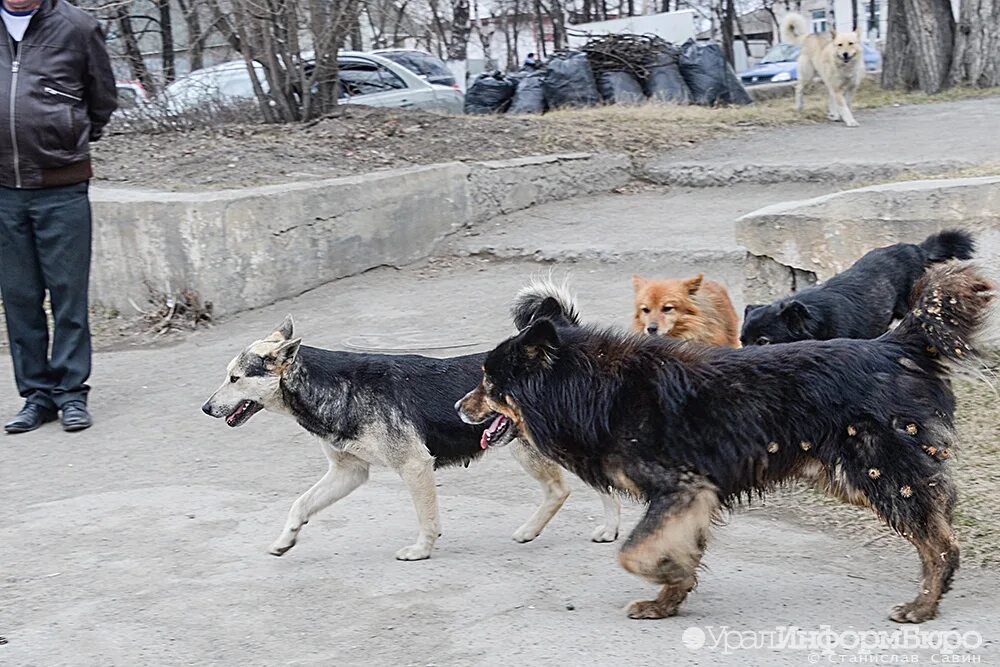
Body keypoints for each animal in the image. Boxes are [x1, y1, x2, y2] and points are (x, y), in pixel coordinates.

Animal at [200, 284, 620, 560]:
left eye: (235, 378)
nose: (205, 408)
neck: (330, 384)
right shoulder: (348, 472)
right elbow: (300, 505)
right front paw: (285, 540)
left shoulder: (415, 466)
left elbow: (426, 517)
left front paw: (421, 549)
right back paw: (600, 528)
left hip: (533, 447)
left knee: (562, 490)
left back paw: (547, 530)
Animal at [458, 264, 992, 624]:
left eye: (488, 381)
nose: (461, 407)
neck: (587, 386)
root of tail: (895, 345)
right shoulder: (692, 495)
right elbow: (673, 548)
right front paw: (668, 598)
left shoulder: (683, 485)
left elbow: (632, 551)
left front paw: (665, 578)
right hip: (858, 474)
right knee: (936, 527)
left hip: (879, 468)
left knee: (940, 543)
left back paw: (922, 605)